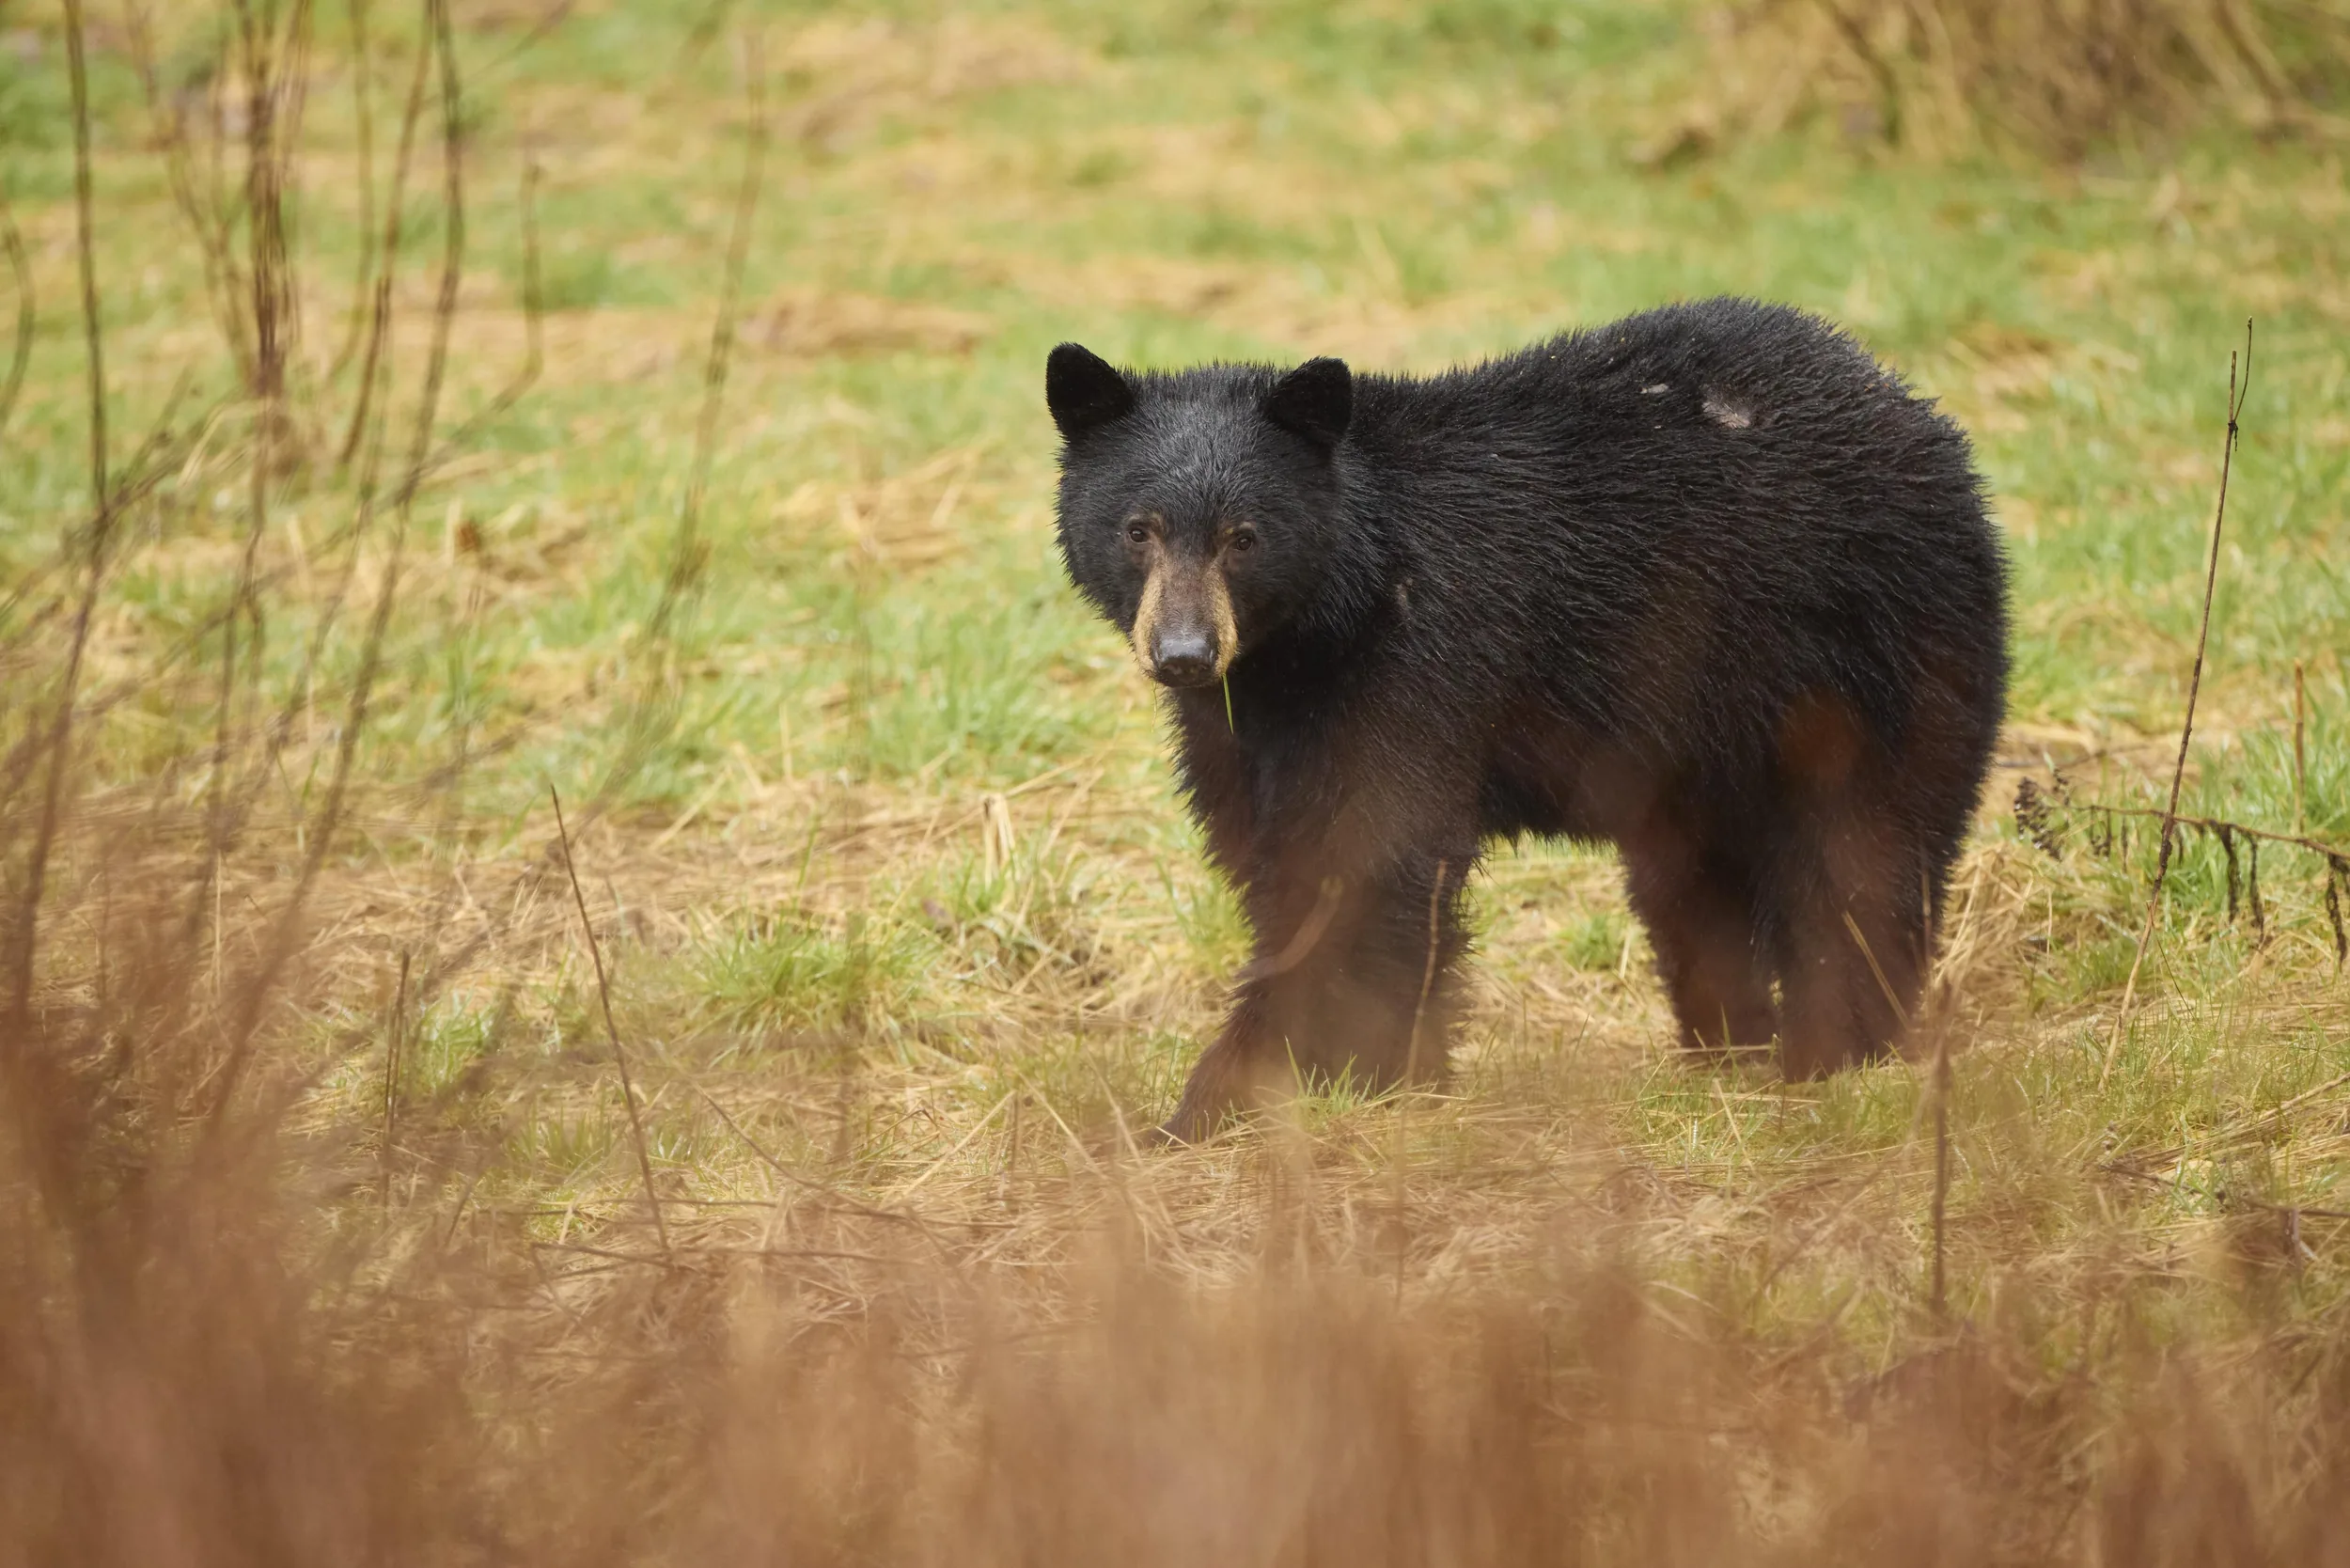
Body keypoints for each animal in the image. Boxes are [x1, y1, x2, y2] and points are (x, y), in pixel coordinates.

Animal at [1045, 298, 2009, 1142]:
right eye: (1138, 529)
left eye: (1243, 537)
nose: (1184, 653)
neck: (1321, 634)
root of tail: (1918, 414)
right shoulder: (1242, 731)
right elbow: (1272, 861)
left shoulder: (1417, 667)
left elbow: (1371, 859)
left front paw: (1250, 1093)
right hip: (1703, 743)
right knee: (1694, 888)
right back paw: (1727, 1047)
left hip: (1874, 655)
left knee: (1863, 854)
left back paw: (1833, 1054)